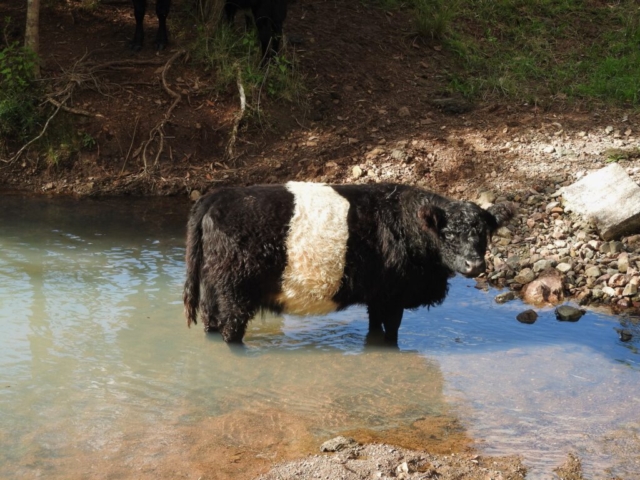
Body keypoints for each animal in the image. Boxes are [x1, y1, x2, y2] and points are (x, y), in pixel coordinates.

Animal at [182, 182, 512, 344]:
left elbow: (375, 330)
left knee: (212, 325)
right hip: (235, 291)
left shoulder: (378, 297)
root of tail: (215, 197)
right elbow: (390, 333)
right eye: (449, 234)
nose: (474, 265)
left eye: (483, 234)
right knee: (231, 331)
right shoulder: (393, 297)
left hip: (213, 291)